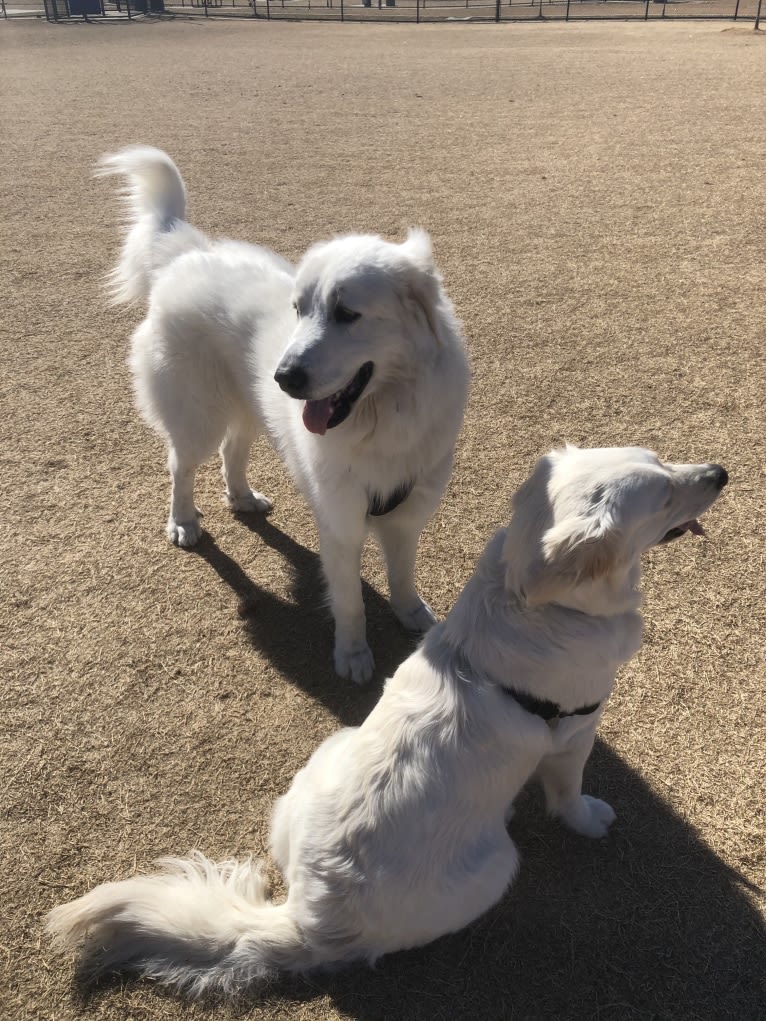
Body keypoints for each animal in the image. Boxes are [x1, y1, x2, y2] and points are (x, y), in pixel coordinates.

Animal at [49, 447, 731, 996]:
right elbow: (569, 798)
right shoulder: (574, 734)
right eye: (664, 493)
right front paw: (590, 820)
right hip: (496, 865)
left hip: (326, 753)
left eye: (664, 460)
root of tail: (306, 919)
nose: (721, 472)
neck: (525, 600)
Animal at [97, 143, 467, 682]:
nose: (284, 377)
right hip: (198, 420)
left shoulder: (407, 514)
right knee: (180, 467)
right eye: (300, 309)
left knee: (232, 453)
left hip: (249, 411)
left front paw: (412, 616)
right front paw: (353, 656)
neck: (382, 417)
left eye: (346, 313)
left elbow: (402, 576)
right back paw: (183, 522)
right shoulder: (341, 522)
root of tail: (186, 251)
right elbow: (350, 601)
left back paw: (242, 498)